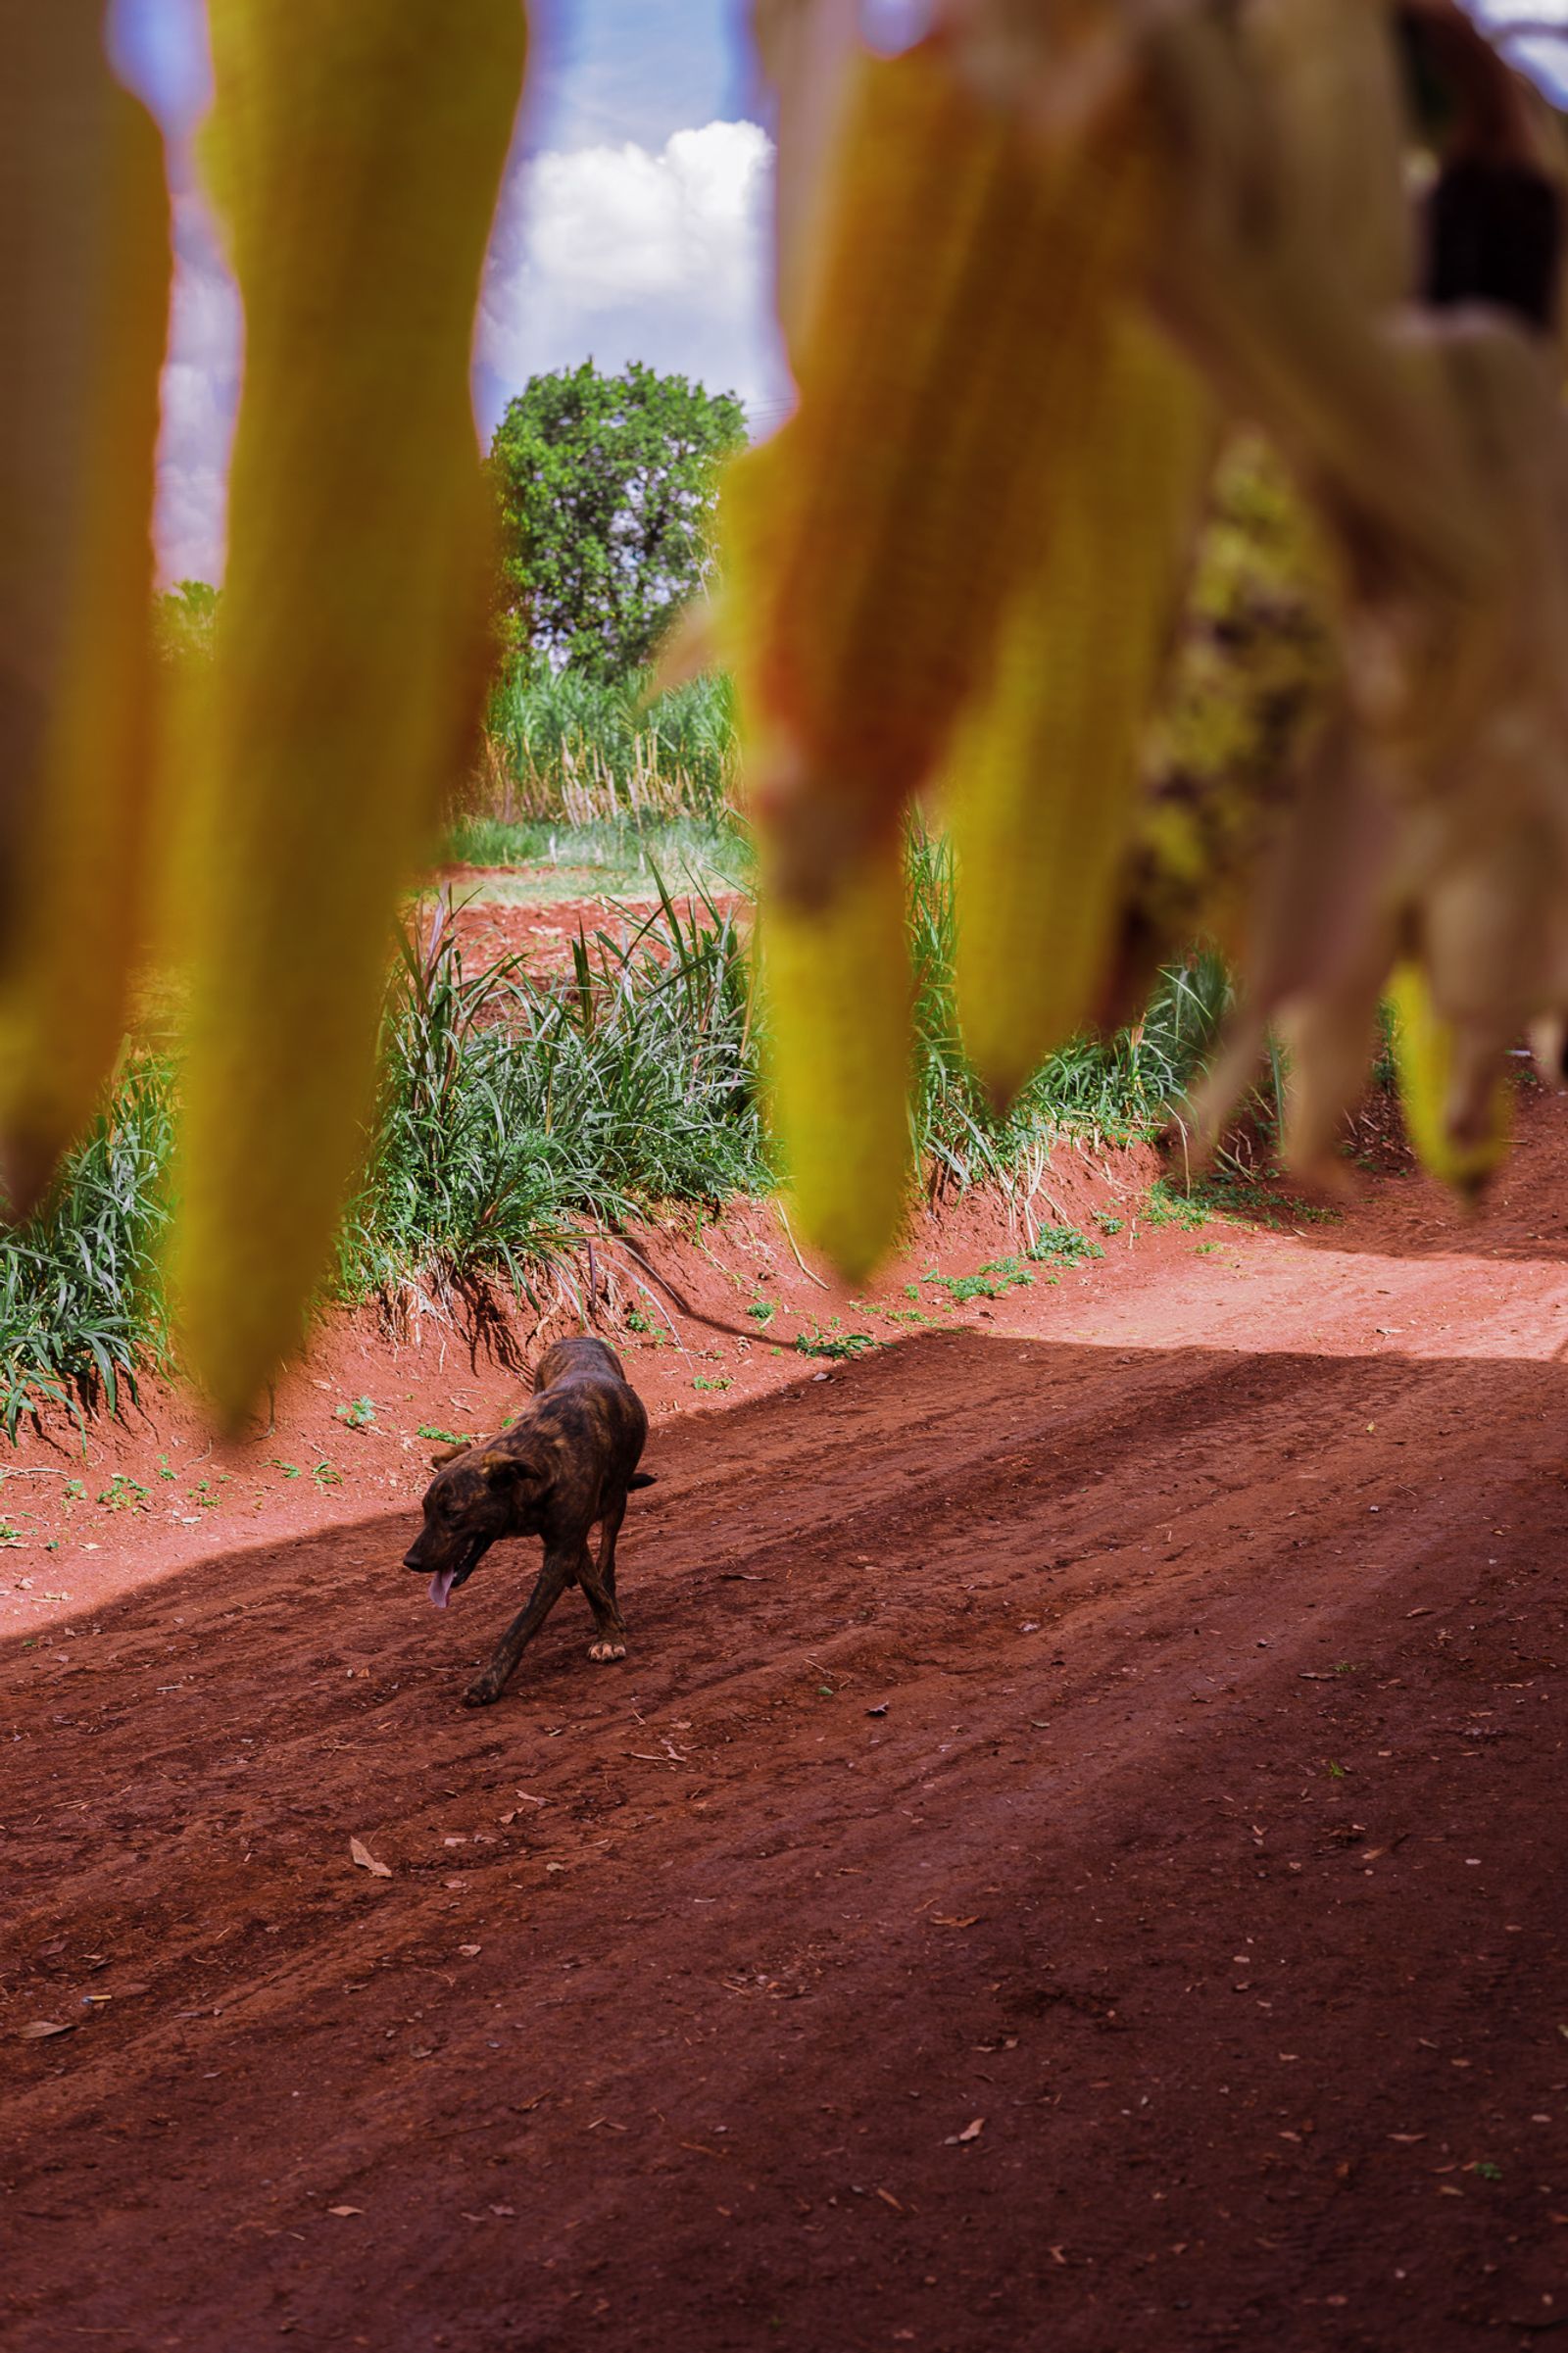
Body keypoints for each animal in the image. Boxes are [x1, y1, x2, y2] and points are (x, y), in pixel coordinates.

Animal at [402, 1346, 654, 1712]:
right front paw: (606, 1624)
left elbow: (523, 1622)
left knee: (607, 1559)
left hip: (616, 1501)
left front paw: (488, 1682)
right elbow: (590, 1585)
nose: (411, 1561)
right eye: (425, 1512)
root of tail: (579, 1337)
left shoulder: (564, 1548)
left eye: (453, 1513)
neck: (540, 1459)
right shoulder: (567, 1543)